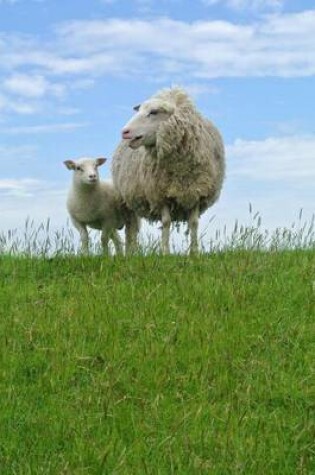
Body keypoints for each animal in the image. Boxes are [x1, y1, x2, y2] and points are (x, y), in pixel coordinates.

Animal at [112, 87, 226, 255]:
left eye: (153, 112)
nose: (124, 132)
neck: (181, 168)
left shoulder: (196, 192)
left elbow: (194, 223)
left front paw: (194, 252)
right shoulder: (160, 194)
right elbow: (166, 222)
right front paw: (165, 252)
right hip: (126, 201)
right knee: (130, 228)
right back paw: (130, 254)